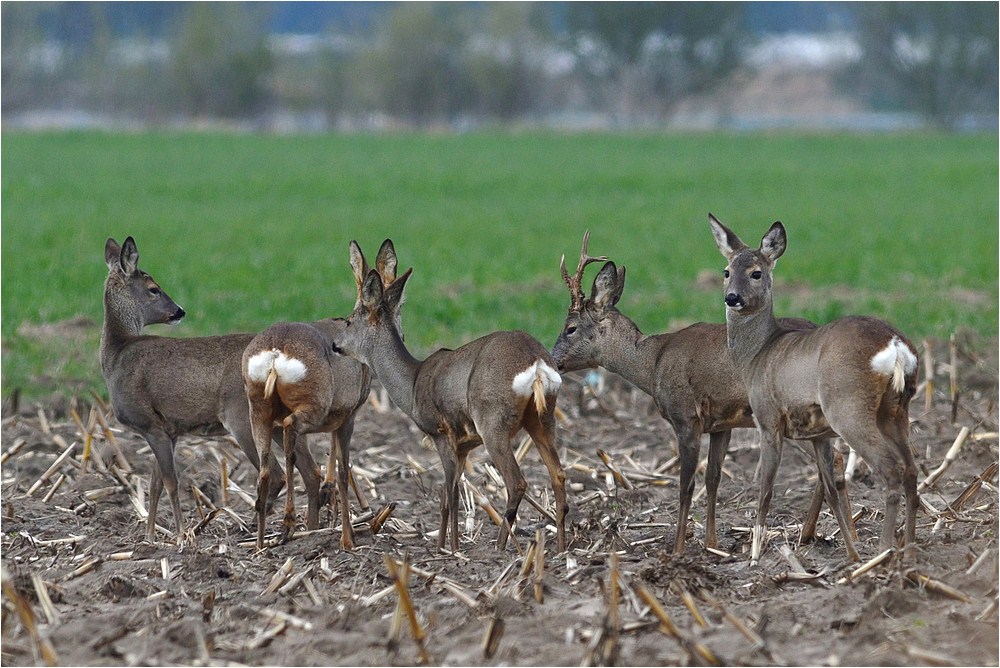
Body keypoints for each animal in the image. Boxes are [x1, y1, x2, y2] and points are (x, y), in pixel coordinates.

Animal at [240, 240, 400, 548]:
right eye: (398, 306)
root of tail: (275, 354)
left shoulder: (336, 419)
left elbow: (332, 463)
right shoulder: (348, 415)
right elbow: (342, 470)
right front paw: (348, 538)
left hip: (258, 409)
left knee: (266, 470)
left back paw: (262, 542)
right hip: (313, 406)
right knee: (290, 436)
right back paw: (288, 524)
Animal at [552, 232, 856, 556]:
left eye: (570, 328)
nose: (553, 359)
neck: (651, 363)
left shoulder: (685, 417)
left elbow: (686, 486)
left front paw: (678, 549)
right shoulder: (721, 424)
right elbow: (713, 478)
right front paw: (711, 543)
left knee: (836, 458)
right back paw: (819, 535)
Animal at [708, 217, 916, 560]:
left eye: (756, 272)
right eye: (726, 271)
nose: (732, 297)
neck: (758, 355)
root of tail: (896, 345)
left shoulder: (768, 419)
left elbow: (766, 490)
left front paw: (755, 553)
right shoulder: (818, 434)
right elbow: (830, 489)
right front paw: (847, 551)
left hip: (849, 406)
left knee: (891, 468)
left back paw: (884, 551)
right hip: (896, 410)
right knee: (912, 469)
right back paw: (909, 548)